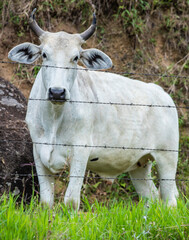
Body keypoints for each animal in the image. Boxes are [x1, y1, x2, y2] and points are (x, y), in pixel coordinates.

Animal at [7, 9, 179, 208]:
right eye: (44, 54)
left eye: (75, 58)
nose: (57, 92)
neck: (54, 120)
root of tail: (161, 92)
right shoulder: (38, 151)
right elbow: (46, 201)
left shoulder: (80, 152)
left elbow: (71, 200)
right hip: (140, 166)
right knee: (151, 197)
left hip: (167, 159)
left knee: (170, 201)